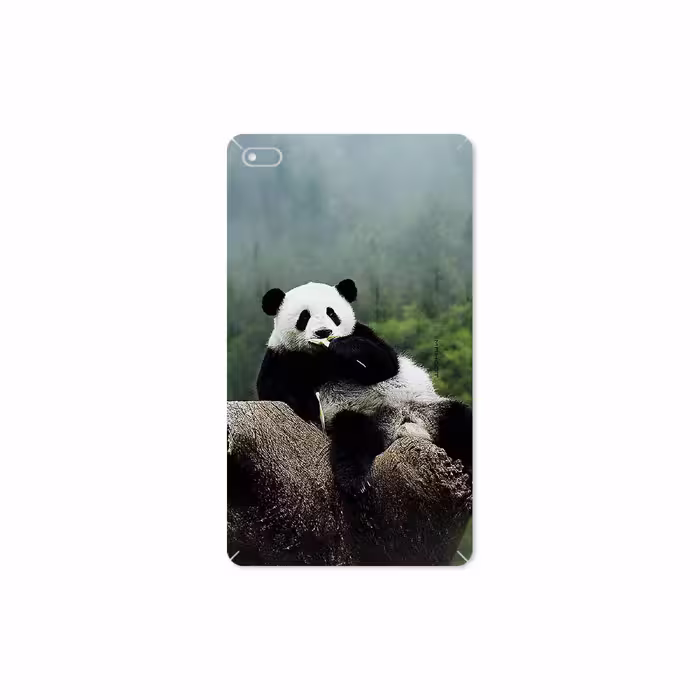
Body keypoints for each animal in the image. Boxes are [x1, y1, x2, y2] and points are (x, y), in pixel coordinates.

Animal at [256, 279, 472, 493]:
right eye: (304, 316)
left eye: (331, 313)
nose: (324, 332)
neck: (322, 357)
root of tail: (400, 425)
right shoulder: (282, 356)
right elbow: (275, 392)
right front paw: (308, 403)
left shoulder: (362, 332)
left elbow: (386, 364)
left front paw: (344, 347)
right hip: (357, 413)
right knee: (354, 437)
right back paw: (354, 480)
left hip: (427, 409)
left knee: (459, 421)